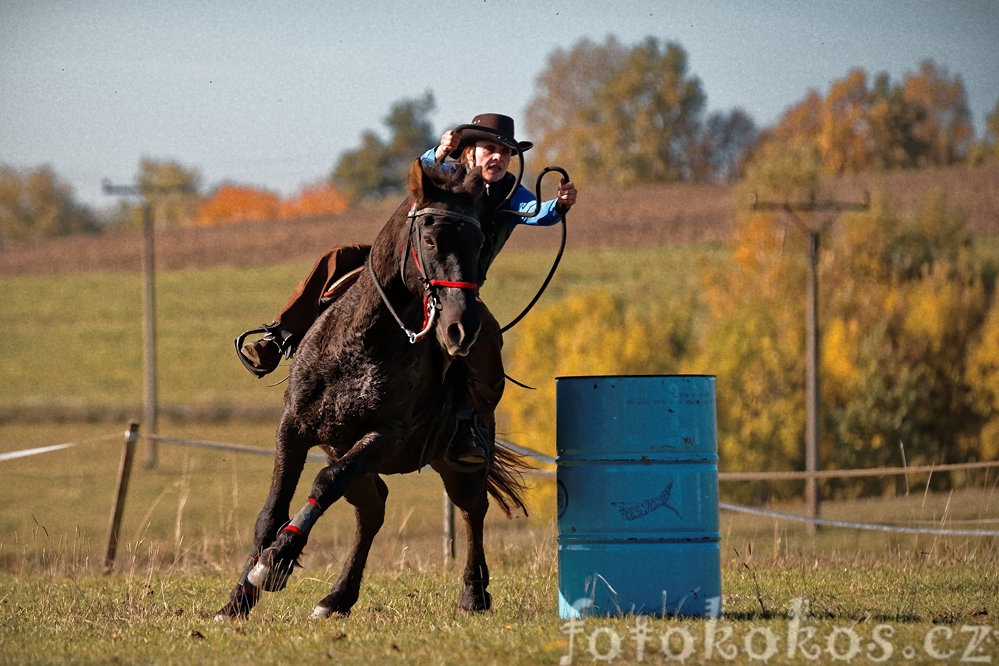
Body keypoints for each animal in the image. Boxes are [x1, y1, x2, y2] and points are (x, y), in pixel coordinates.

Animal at [217, 158, 532, 620]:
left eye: (479, 243)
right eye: (431, 239)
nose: (462, 329)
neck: (359, 341)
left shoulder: (384, 436)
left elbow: (324, 483)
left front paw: (276, 561)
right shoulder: (293, 427)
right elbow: (271, 511)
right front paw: (240, 597)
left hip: (457, 460)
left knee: (471, 509)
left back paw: (473, 594)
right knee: (372, 510)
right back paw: (336, 598)